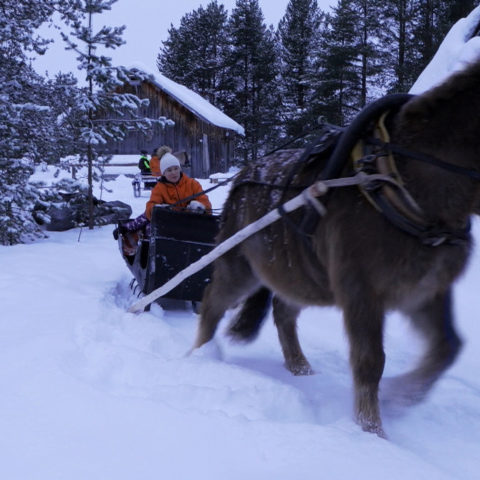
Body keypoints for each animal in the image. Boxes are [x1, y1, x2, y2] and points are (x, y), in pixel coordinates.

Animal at [194, 59, 480, 436]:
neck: (400, 184)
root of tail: (243, 176)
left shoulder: (425, 290)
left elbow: (448, 347)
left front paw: (400, 396)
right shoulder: (361, 290)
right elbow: (370, 361)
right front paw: (371, 430)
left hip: (296, 274)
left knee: (283, 312)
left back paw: (300, 369)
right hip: (240, 265)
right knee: (213, 303)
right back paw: (198, 357)